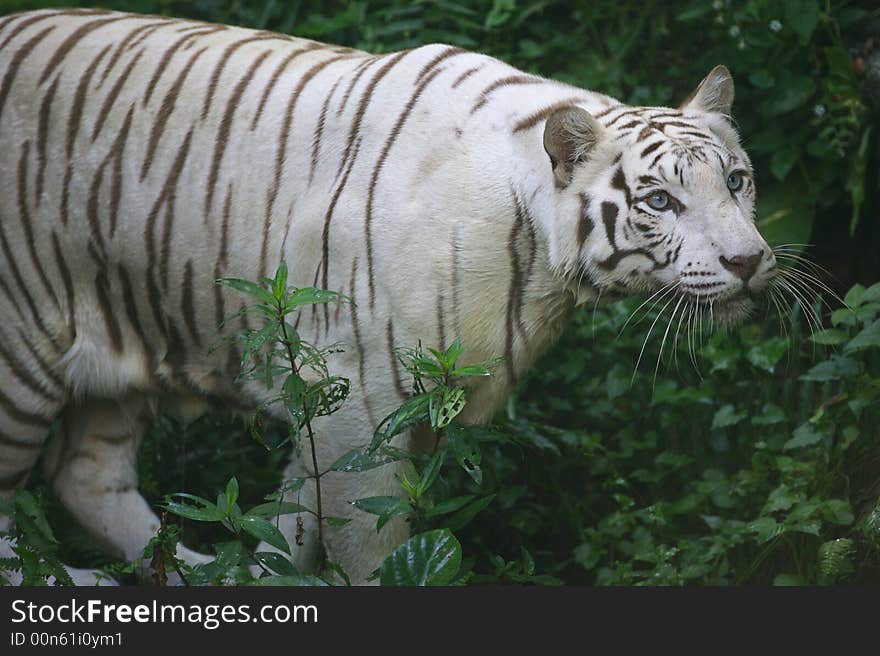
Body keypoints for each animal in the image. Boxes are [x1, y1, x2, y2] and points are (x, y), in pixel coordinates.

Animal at [0, 9, 776, 584]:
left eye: (736, 180)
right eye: (659, 200)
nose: (748, 262)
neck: (540, 263)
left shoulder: (344, 399)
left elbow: (293, 518)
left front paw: (267, 577)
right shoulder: (360, 398)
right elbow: (364, 541)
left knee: (84, 474)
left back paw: (199, 578)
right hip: (21, 351)